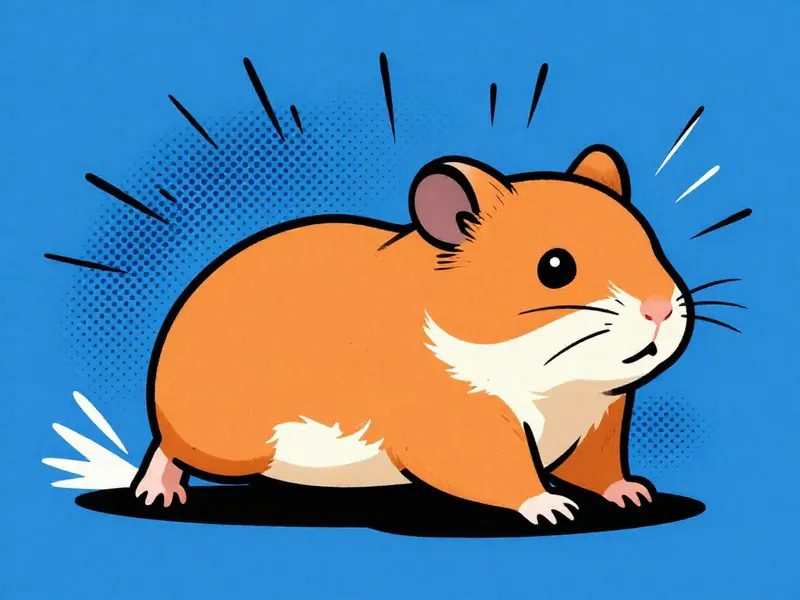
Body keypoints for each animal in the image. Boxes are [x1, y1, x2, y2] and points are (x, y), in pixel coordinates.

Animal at [132, 144, 694, 526]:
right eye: (555, 267)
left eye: (650, 242)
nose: (660, 310)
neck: (555, 381)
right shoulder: (457, 424)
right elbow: (507, 474)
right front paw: (554, 508)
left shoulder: (601, 420)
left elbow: (601, 470)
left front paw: (635, 493)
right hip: (227, 444)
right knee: (169, 449)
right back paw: (156, 493)